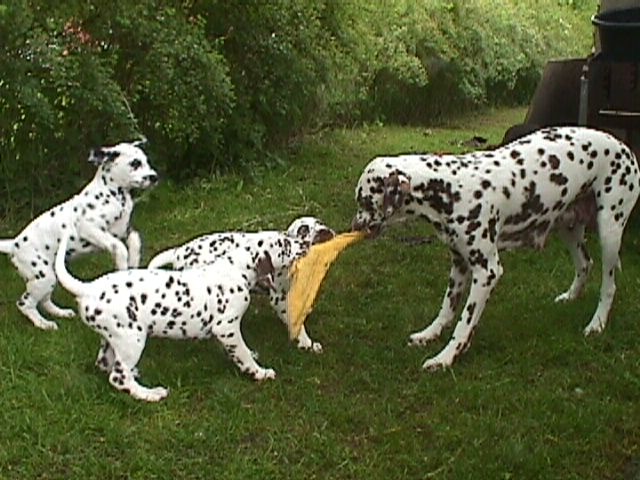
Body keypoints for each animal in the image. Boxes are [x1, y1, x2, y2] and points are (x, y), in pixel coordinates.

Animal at [0, 141, 159, 332]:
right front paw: (123, 266)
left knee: (44, 301)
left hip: (50, 276)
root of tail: (13, 244)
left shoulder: (124, 230)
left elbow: (135, 241)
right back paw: (44, 324)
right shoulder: (89, 228)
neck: (113, 195)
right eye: (135, 163)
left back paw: (61, 312)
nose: (154, 177)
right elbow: (119, 247)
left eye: (146, 161)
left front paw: (133, 263)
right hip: (42, 276)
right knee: (25, 303)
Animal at [56, 229, 286, 402]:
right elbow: (242, 354)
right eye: (284, 245)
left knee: (105, 364)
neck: (233, 268)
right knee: (118, 377)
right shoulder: (226, 327)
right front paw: (259, 372)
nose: (295, 239)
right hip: (132, 339)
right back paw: (150, 394)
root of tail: (89, 288)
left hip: (113, 337)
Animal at [145, 218, 336, 352]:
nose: (325, 232)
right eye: (303, 229)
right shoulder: (280, 299)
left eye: (321, 223)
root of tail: (179, 251)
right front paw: (305, 342)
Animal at [352, 125, 640, 370]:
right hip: (568, 228)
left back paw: (597, 324)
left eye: (363, 200)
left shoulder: (487, 272)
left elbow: (464, 322)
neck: (449, 187)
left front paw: (446, 357)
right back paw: (571, 297)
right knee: (584, 265)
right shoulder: (459, 264)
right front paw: (429, 334)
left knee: (608, 286)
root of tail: (624, 148)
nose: (354, 226)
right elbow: (447, 309)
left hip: (609, 232)